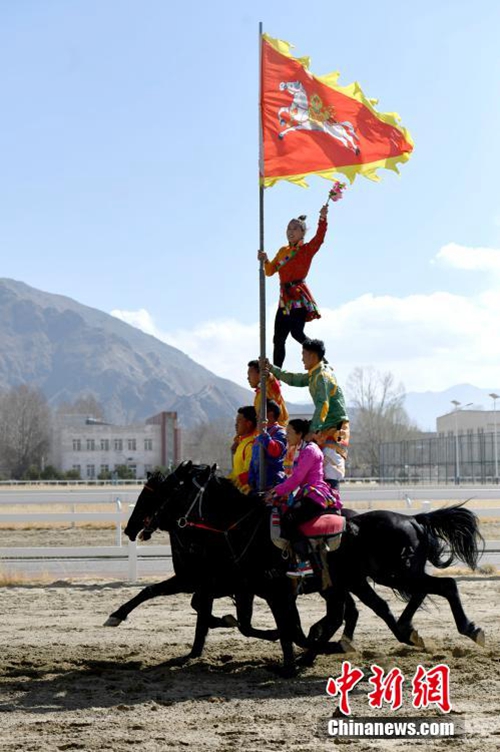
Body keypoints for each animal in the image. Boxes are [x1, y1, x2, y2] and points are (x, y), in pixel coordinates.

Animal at [105, 462, 484, 672]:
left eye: (166, 491)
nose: (132, 528)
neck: (237, 528)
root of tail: (414, 519)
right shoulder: (231, 585)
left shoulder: (253, 586)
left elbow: (278, 626)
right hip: (364, 580)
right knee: (374, 608)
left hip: (388, 574)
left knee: (440, 587)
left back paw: (466, 628)